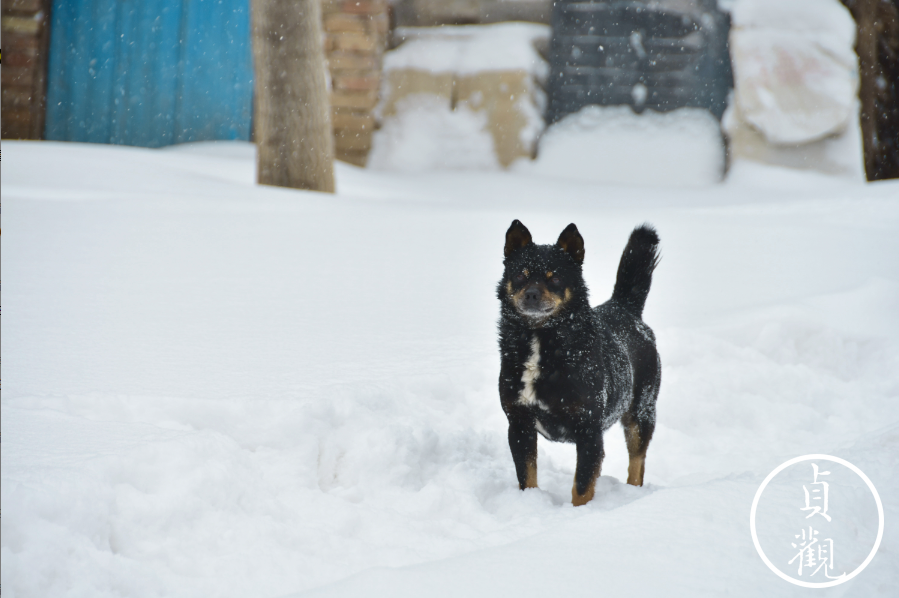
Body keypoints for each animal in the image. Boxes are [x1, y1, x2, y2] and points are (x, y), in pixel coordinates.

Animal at [500, 220, 660, 506]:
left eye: (555, 277)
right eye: (521, 274)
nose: (531, 295)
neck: (541, 340)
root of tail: (624, 307)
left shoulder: (589, 431)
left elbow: (582, 486)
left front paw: (579, 514)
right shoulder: (518, 424)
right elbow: (527, 476)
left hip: (641, 412)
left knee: (637, 462)